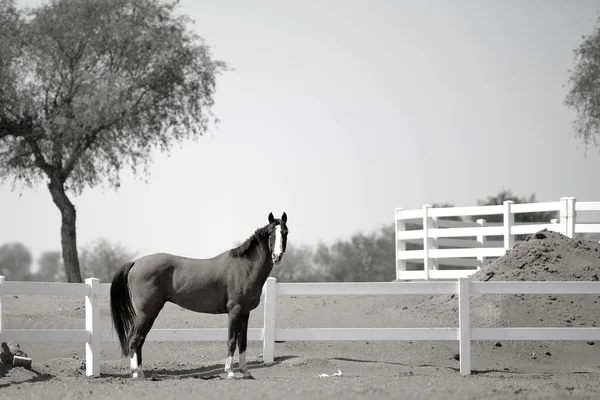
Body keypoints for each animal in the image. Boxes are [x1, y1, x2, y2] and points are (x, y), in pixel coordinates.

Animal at [110, 211, 288, 380]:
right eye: (270, 233)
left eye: (285, 232)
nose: (277, 256)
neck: (243, 267)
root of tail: (135, 263)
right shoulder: (235, 310)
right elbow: (231, 341)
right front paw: (230, 372)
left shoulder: (245, 313)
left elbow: (242, 342)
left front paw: (245, 372)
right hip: (145, 312)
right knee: (134, 339)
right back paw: (135, 375)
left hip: (151, 312)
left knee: (140, 340)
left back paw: (140, 374)